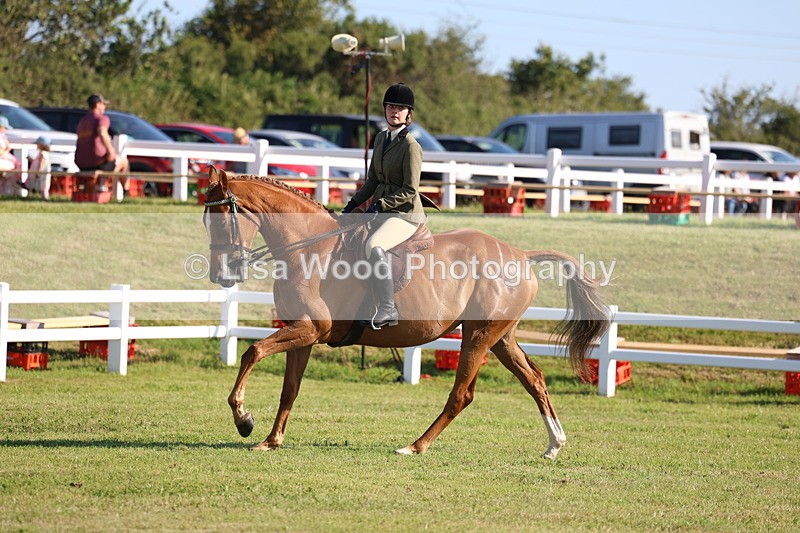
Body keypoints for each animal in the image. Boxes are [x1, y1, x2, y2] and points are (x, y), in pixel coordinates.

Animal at [202, 167, 610, 459]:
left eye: (220, 218)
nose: (222, 276)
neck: (306, 248)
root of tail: (521, 255)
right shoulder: (302, 333)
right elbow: (289, 389)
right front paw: (271, 440)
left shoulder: (311, 329)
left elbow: (252, 352)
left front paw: (243, 419)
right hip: (500, 337)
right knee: (534, 380)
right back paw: (554, 445)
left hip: (478, 336)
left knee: (462, 395)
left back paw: (415, 446)